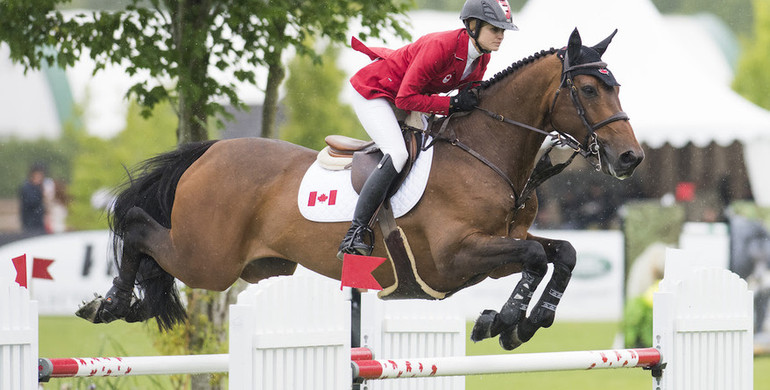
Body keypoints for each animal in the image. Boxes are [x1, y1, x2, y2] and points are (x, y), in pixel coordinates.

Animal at [78, 28, 640, 350]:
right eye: (589, 88)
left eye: (617, 85)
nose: (630, 158)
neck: (488, 156)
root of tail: (210, 150)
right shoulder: (455, 255)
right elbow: (534, 257)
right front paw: (502, 320)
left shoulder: (495, 250)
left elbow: (559, 253)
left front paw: (525, 320)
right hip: (207, 259)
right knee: (136, 224)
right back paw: (110, 302)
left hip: (246, 264)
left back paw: (126, 304)